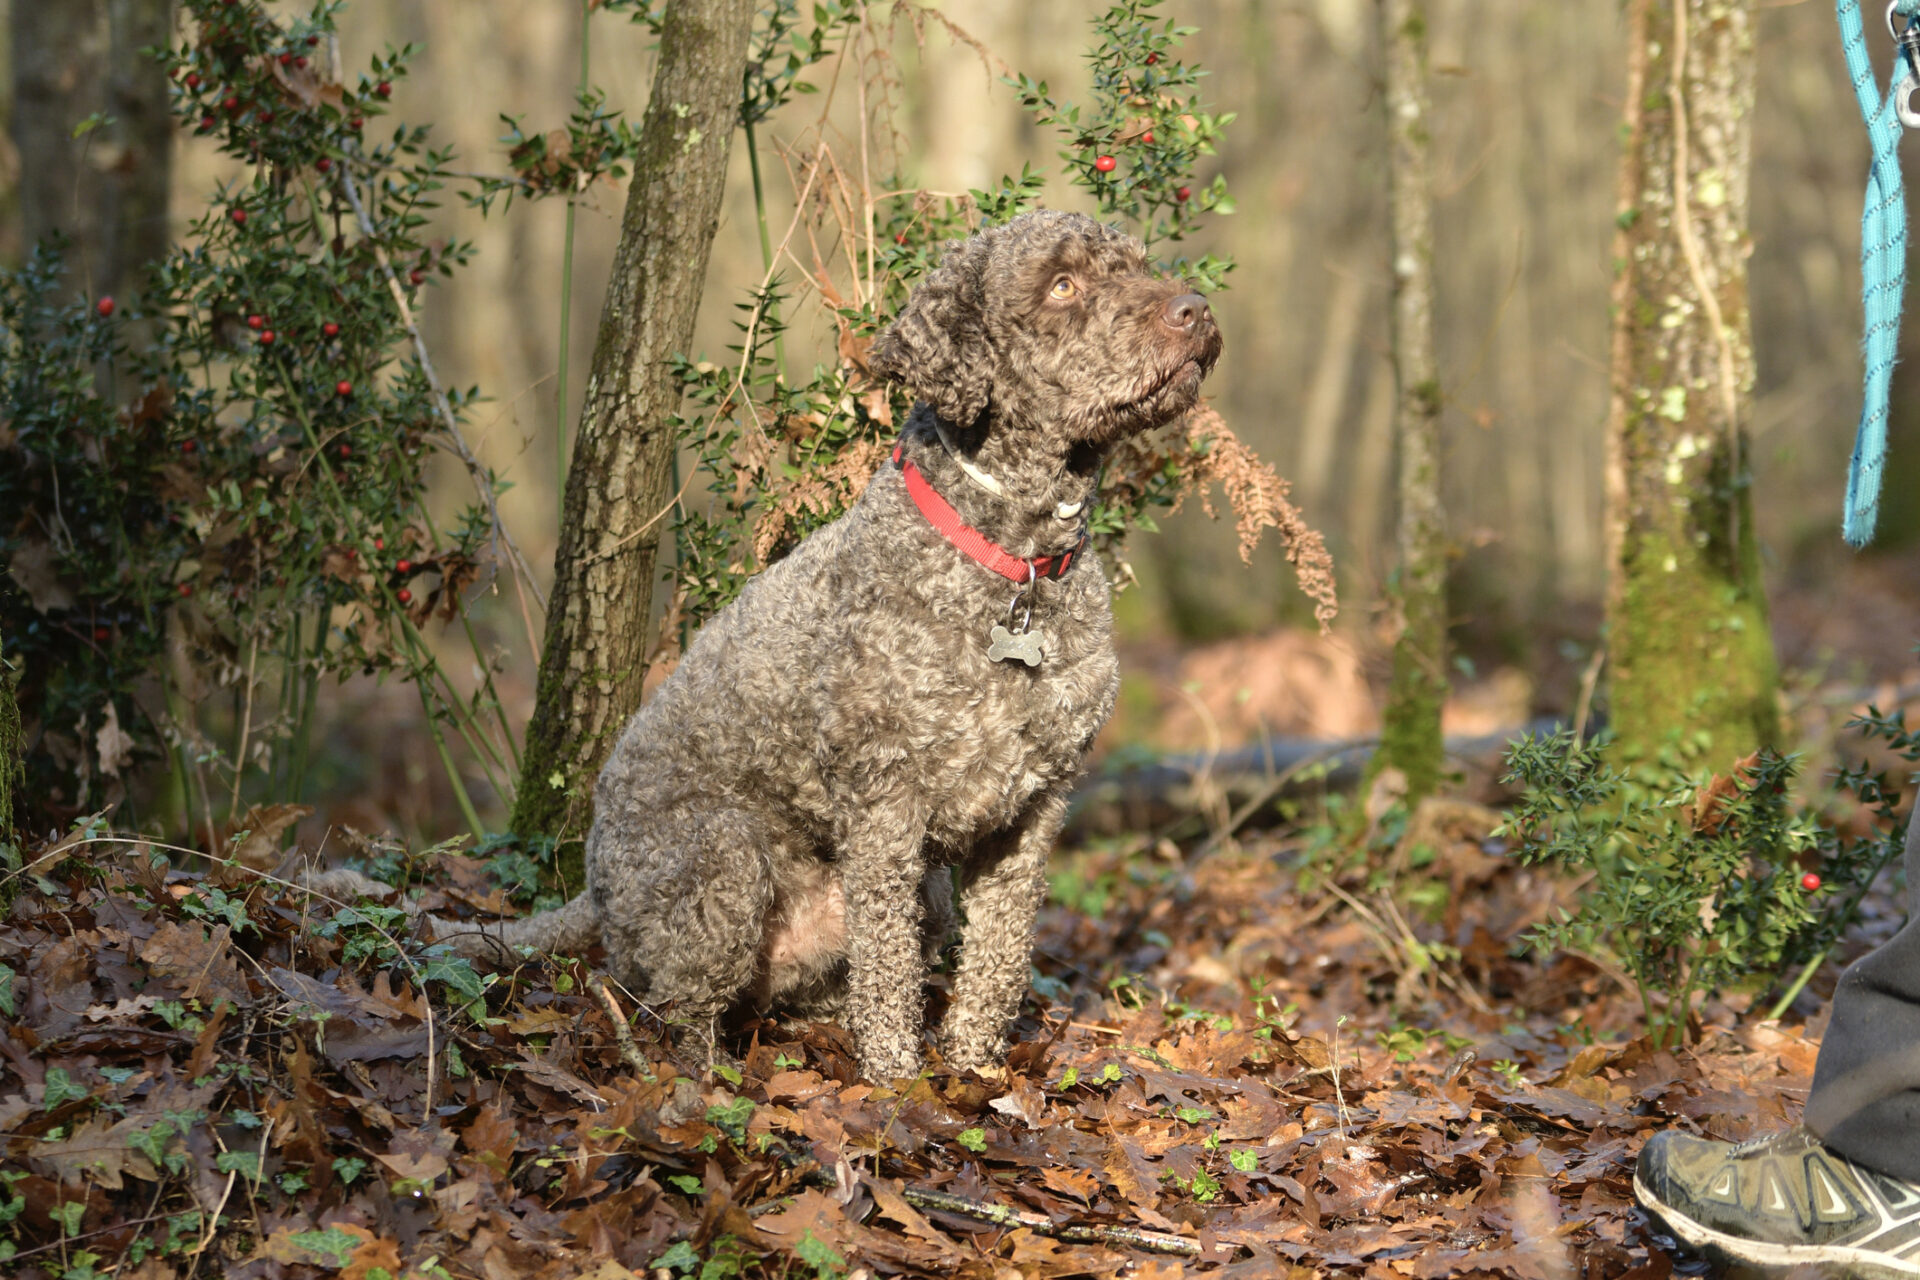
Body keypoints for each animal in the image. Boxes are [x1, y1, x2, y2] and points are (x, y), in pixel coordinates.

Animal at [430, 210, 1221, 1082]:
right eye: (1062, 285)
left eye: (1138, 262)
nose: (1194, 309)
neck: (1014, 566)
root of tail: (592, 885)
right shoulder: (884, 799)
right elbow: (888, 966)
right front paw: (897, 1083)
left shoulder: (1036, 805)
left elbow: (998, 955)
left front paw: (974, 1070)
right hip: (720, 859)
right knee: (679, 1009)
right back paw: (700, 1084)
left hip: (913, 896)